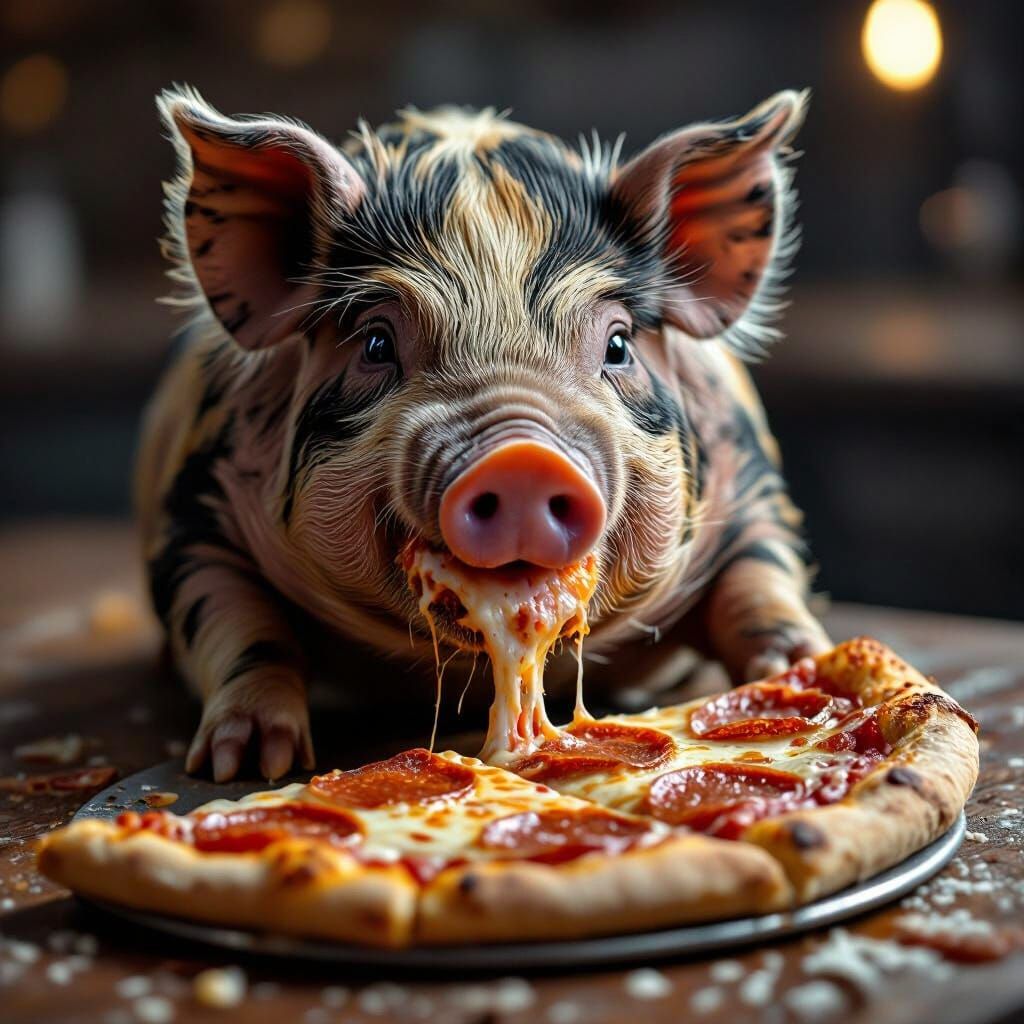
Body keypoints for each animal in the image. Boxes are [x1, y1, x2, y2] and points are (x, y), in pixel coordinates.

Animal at [139, 86, 830, 782]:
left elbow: (759, 582)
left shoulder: (755, 491)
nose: (522, 461)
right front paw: (247, 764)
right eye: (375, 344)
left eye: (618, 346)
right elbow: (243, 627)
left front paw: (799, 668)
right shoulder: (195, 517)